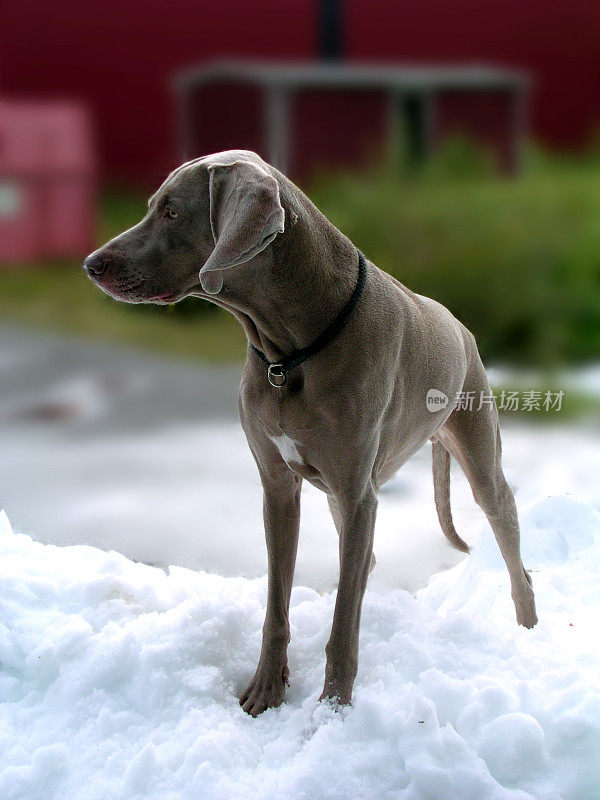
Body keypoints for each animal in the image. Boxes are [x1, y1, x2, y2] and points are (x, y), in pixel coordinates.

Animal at [84, 147, 540, 716]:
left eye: (170, 212)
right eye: (153, 206)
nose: (91, 264)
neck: (289, 350)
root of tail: (458, 324)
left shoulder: (356, 491)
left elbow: (344, 623)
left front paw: (333, 710)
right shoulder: (279, 488)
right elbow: (278, 599)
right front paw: (266, 690)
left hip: (477, 460)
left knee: (511, 553)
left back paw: (528, 634)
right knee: (363, 561)